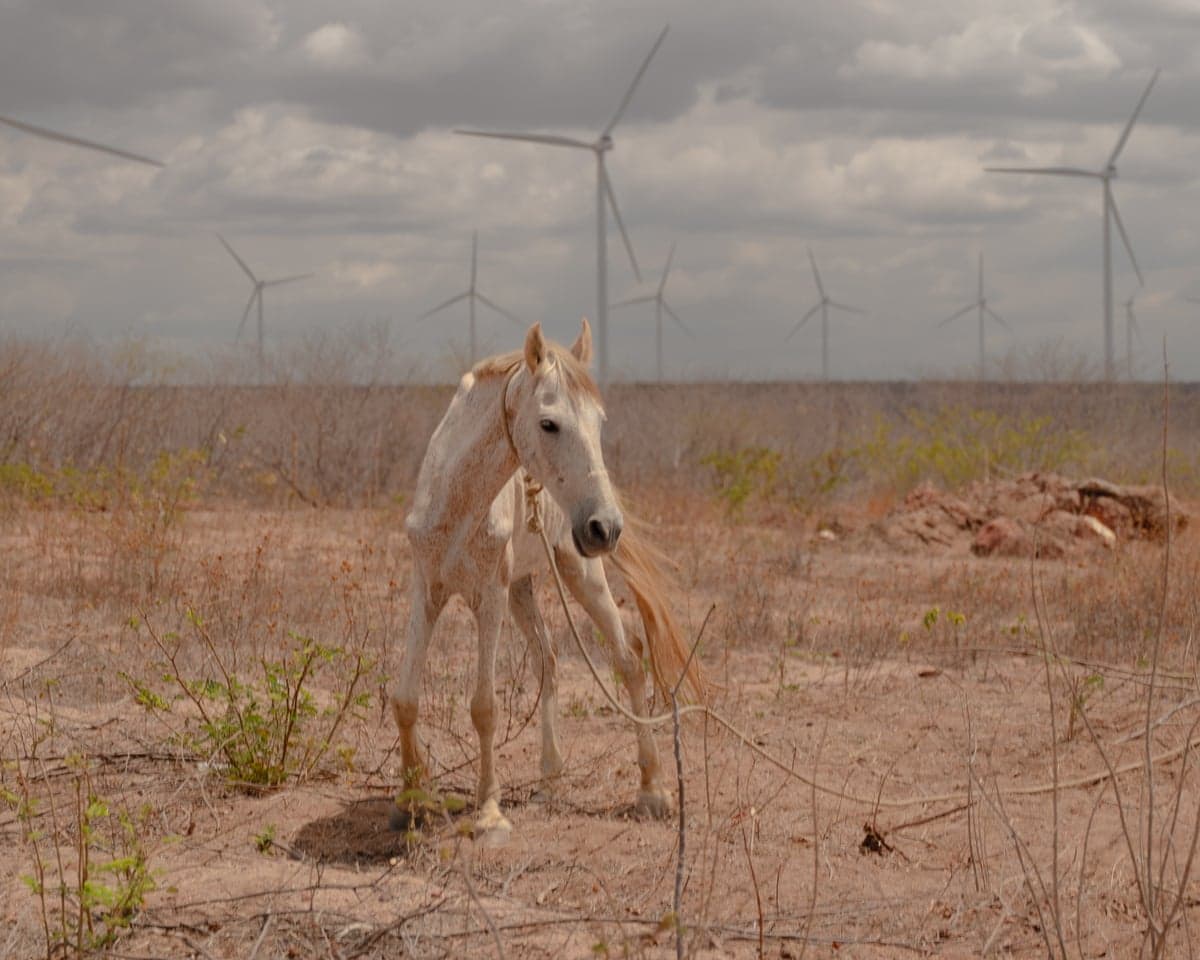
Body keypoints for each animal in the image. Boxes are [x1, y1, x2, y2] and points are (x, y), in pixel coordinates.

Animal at [392, 318, 704, 838]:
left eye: (599, 422)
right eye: (548, 423)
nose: (606, 526)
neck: (456, 500)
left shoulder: (489, 596)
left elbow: (484, 706)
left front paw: (489, 812)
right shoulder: (427, 590)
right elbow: (404, 698)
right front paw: (411, 804)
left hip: (580, 574)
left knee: (629, 658)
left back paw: (653, 791)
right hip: (523, 590)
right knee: (550, 663)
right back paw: (549, 781)